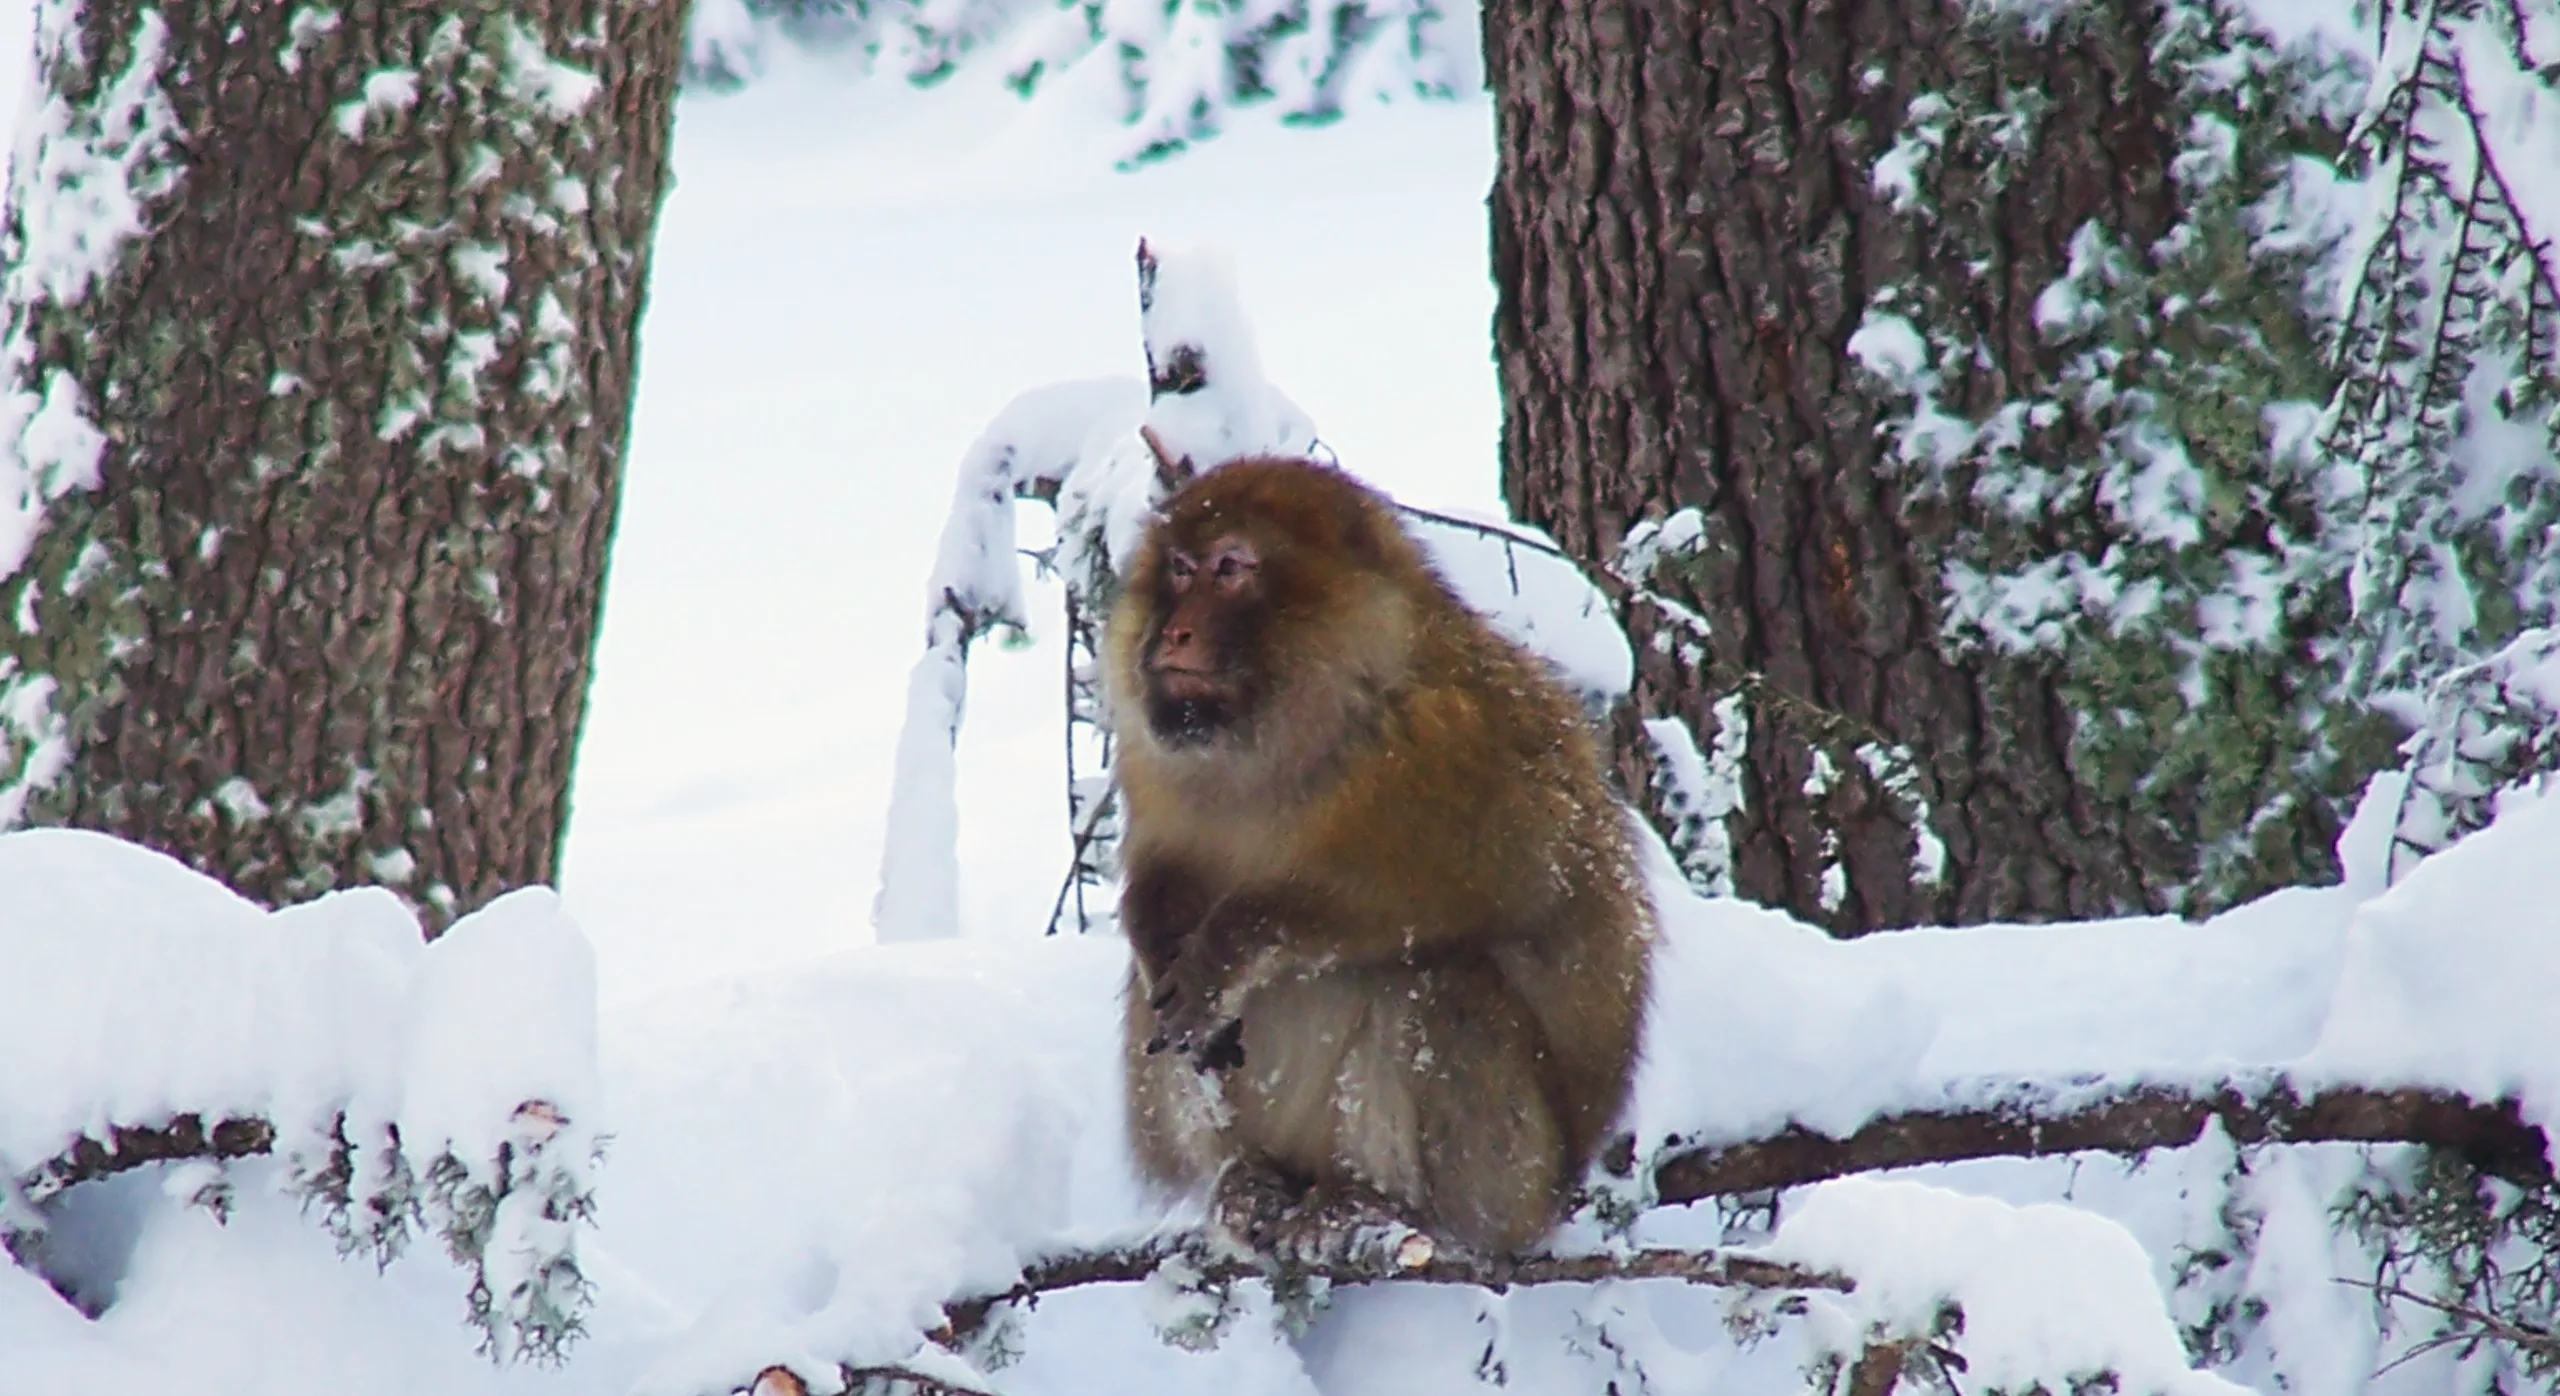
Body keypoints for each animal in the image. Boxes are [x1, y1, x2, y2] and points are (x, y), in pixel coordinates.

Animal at [1106, 455, 1654, 1256]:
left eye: (1230, 568)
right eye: (1180, 568)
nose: (1172, 633)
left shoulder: (1451, 746)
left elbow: (1466, 891)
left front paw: (1230, 946)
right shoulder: (1156, 765)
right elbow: (1160, 872)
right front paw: (1155, 933)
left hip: (1510, 1180)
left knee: (1438, 981)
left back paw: (1377, 1204)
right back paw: (1244, 1179)